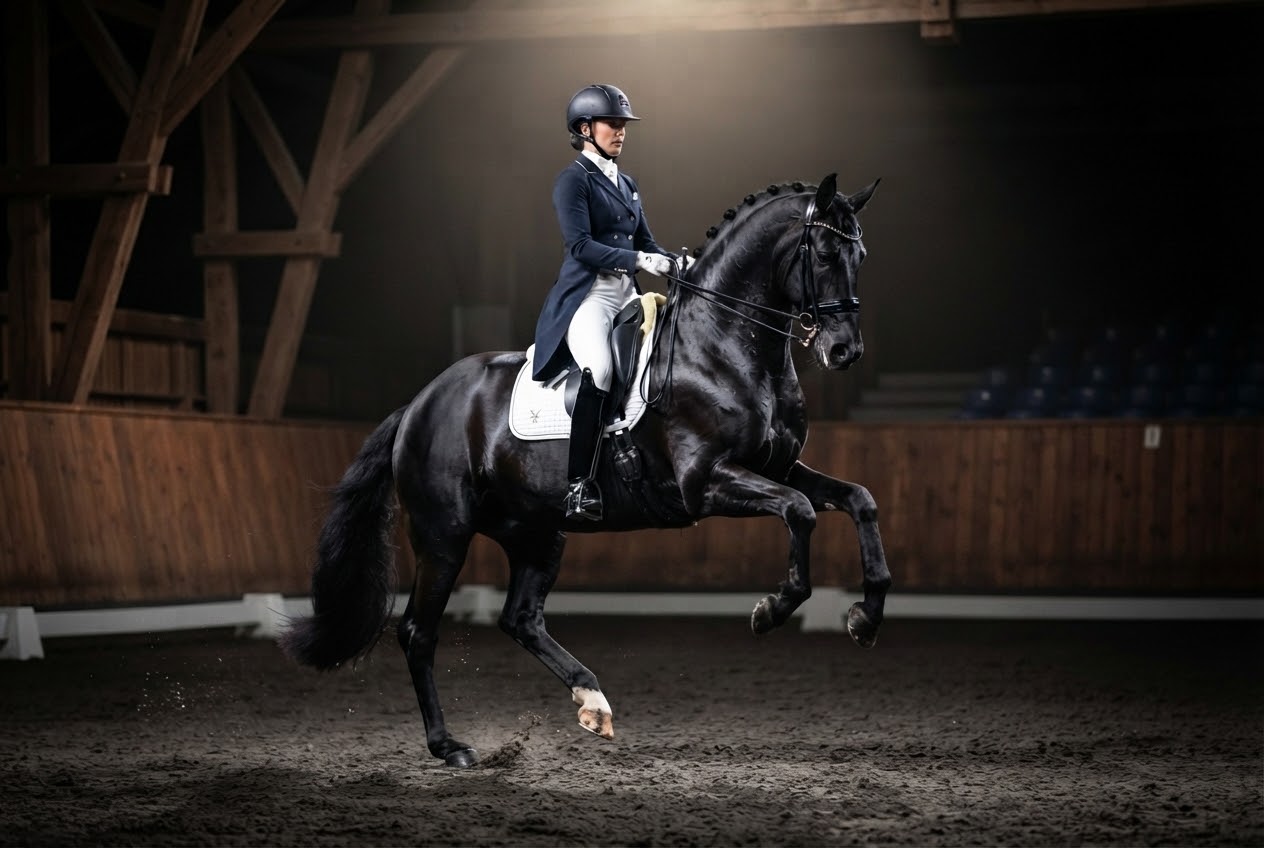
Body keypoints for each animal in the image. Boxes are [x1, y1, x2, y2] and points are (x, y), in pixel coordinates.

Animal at [280, 172, 892, 768]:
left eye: (860, 254)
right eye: (822, 254)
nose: (845, 351)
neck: (724, 346)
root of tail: (417, 404)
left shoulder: (779, 466)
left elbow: (858, 499)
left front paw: (865, 617)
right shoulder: (705, 482)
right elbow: (802, 511)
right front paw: (771, 611)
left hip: (537, 532)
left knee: (520, 619)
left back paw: (592, 701)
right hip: (443, 537)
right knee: (418, 633)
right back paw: (449, 746)